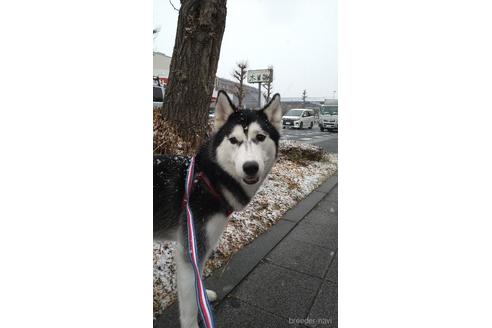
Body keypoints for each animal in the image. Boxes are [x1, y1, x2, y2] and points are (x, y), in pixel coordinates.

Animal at [156, 90, 282, 328]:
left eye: (260, 137)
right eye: (234, 140)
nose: (250, 167)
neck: (208, 180)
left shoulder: (200, 244)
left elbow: (197, 280)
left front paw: (203, 296)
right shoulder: (190, 248)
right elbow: (189, 305)